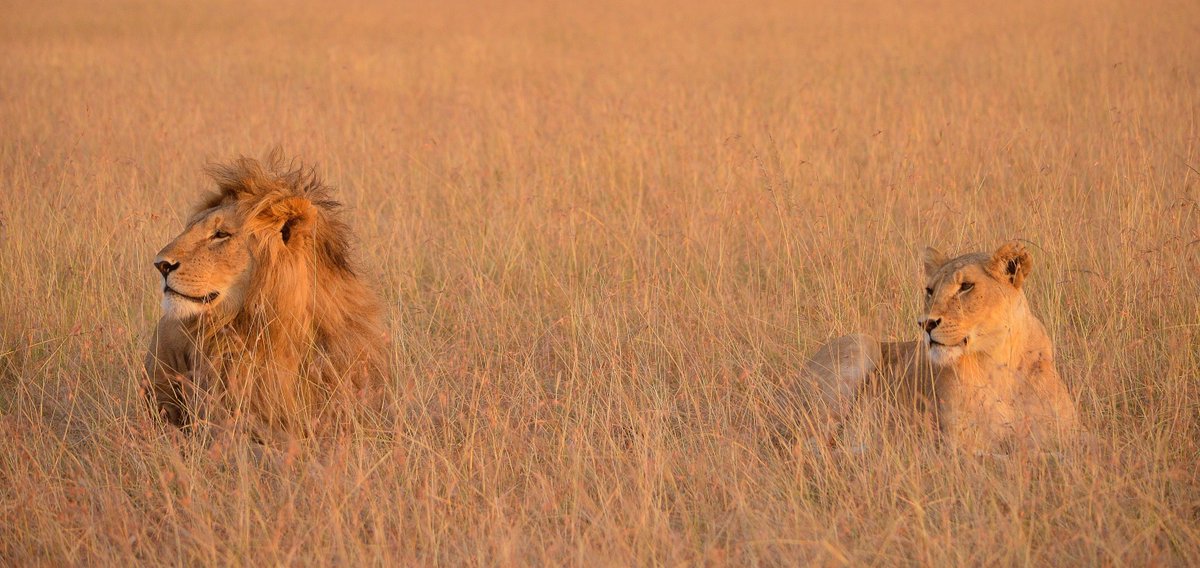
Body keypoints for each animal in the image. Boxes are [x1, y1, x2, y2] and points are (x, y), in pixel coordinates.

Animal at [801, 242, 1084, 451]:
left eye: (966, 286)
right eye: (929, 290)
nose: (925, 323)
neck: (1000, 363)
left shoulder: (1065, 434)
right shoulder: (960, 446)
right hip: (860, 343)